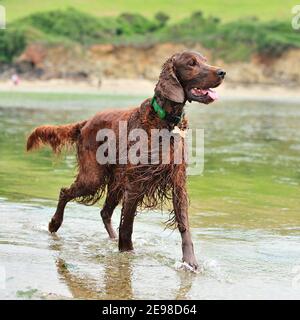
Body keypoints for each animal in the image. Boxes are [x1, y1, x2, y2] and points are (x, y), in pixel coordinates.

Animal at [27, 50, 225, 270]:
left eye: (205, 60)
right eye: (191, 63)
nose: (222, 72)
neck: (164, 122)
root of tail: (86, 122)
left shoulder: (177, 181)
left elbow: (184, 224)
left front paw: (190, 262)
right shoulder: (135, 183)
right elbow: (127, 225)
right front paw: (127, 254)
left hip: (116, 182)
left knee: (105, 212)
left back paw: (111, 239)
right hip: (93, 177)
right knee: (65, 192)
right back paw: (54, 223)